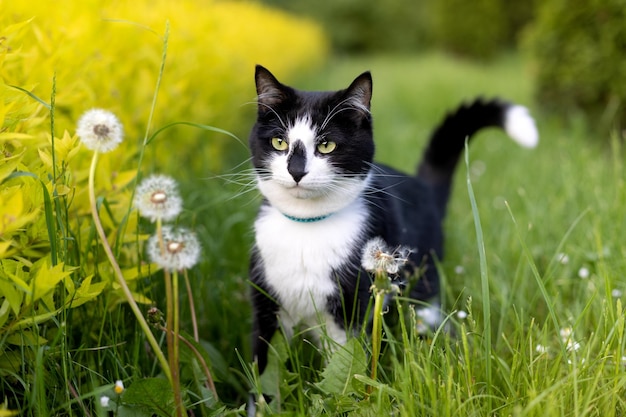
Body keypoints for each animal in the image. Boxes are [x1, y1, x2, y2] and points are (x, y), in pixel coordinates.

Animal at [246, 65, 532, 374]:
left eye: (326, 146)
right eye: (279, 142)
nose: (296, 171)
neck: (306, 227)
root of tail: (422, 186)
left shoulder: (353, 303)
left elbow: (346, 361)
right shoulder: (266, 298)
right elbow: (264, 363)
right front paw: (260, 387)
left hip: (424, 277)